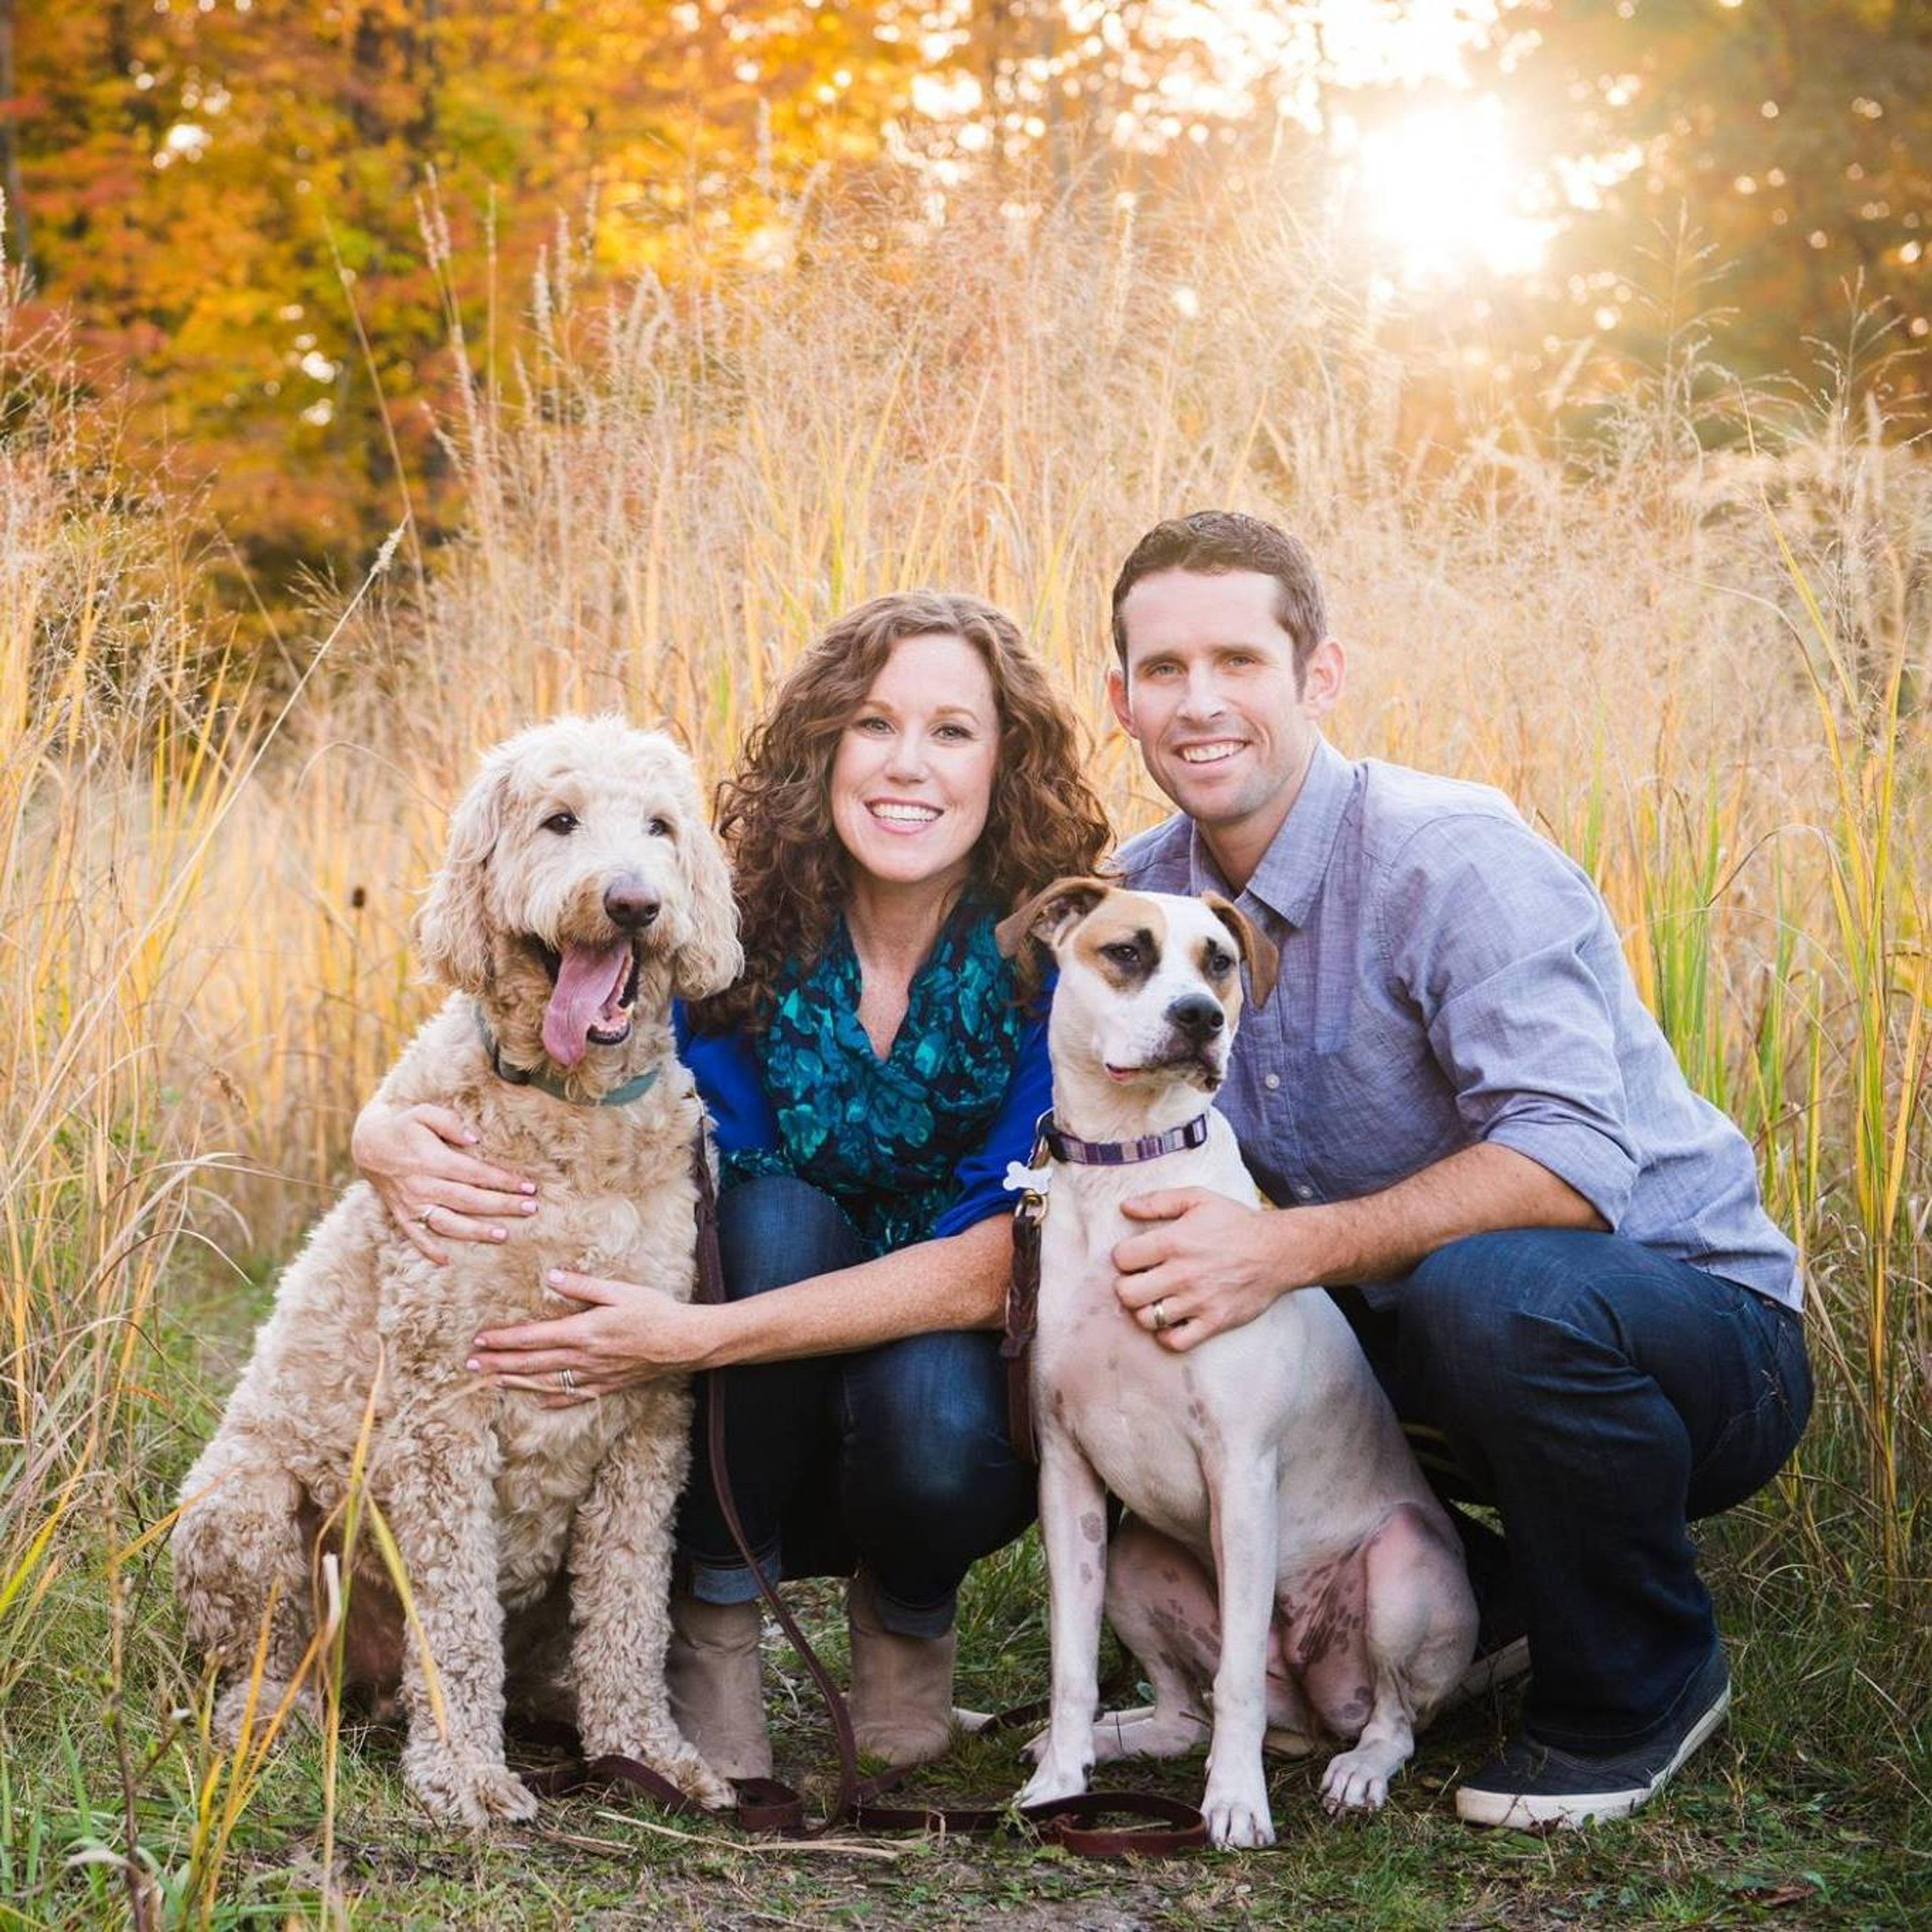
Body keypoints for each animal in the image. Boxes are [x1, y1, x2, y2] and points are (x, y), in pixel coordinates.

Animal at [997, 884, 1476, 1847]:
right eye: (1128, 952)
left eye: (1218, 961)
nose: (1200, 1017)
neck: (1126, 1165)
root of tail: (1313, 1709)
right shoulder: (1066, 1474)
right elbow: (1072, 1664)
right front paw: (1060, 1781)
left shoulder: (1243, 1471)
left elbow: (1241, 1683)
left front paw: (1235, 1806)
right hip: (1138, 1561)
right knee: (1188, 1710)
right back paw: (1114, 1740)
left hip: (1404, 1569)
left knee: (1389, 1717)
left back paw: (1358, 1770)